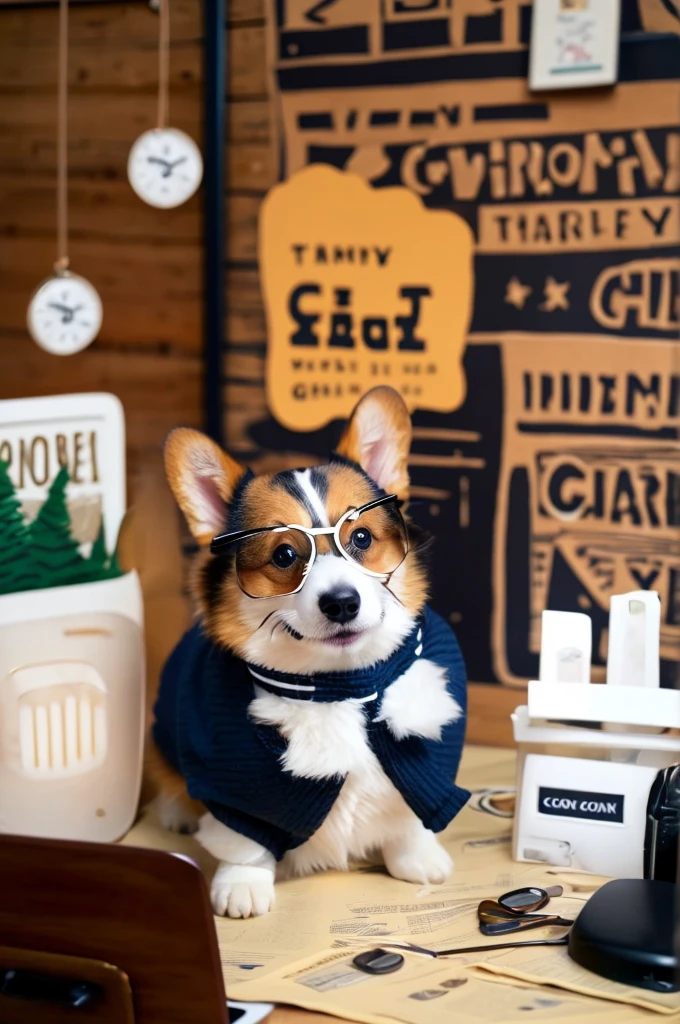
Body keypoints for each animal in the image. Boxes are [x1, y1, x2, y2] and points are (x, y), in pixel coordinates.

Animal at [148, 385, 466, 921]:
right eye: (283, 555)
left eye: (361, 538)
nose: (341, 603)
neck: (340, 684)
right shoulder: (235, 787)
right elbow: (246, 840)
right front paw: (242, 884)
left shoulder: (427, 765)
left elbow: (409, 811)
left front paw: (417, 854)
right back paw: (175, 812)